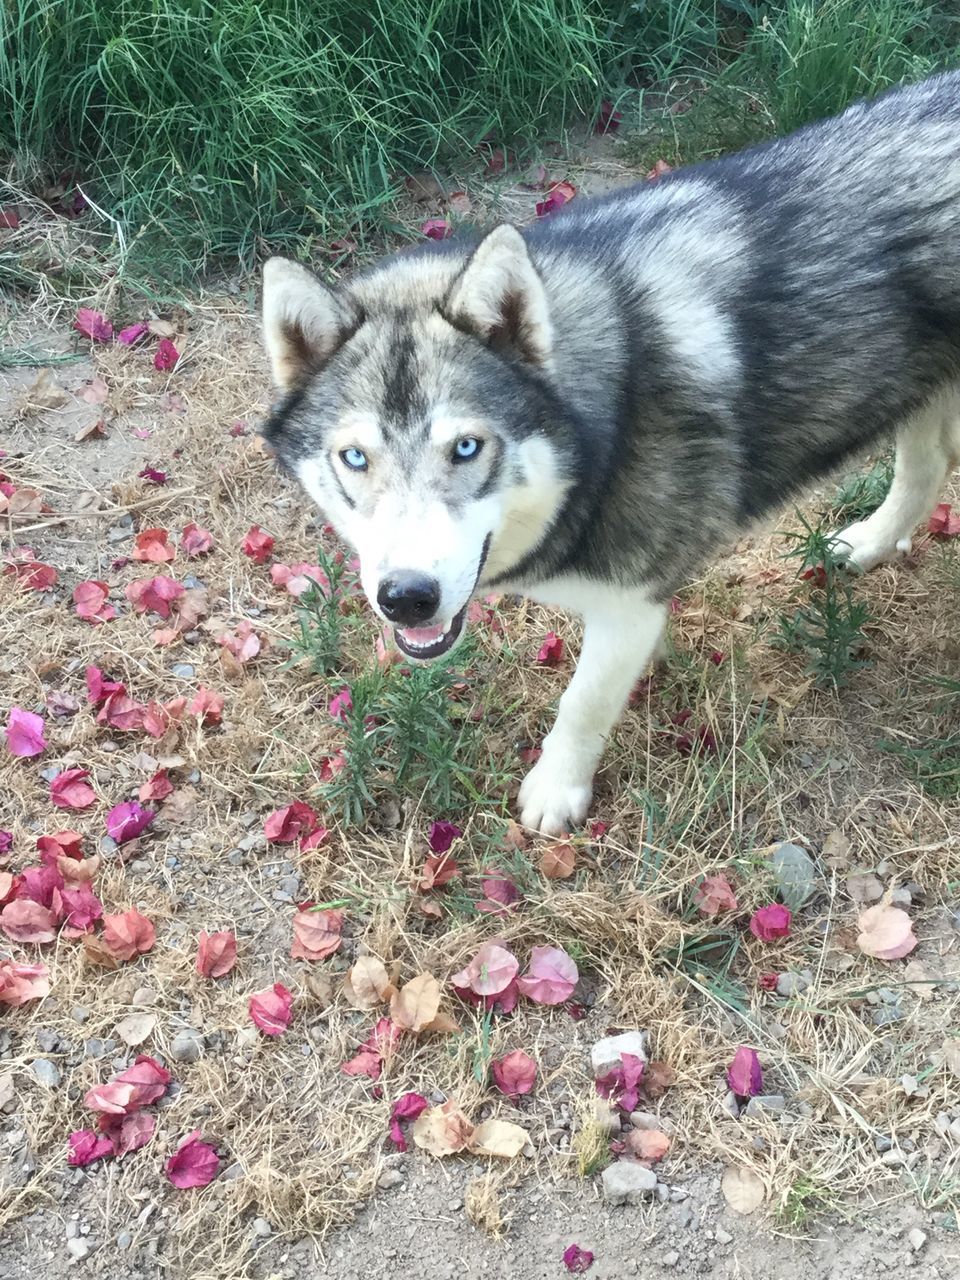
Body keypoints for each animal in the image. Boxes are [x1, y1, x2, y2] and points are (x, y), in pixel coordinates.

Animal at [261, 74, 960, 839]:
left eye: (467, 447)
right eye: (355, 458)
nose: (407, 598)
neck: (611, 417)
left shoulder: (632, 604)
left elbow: (583, 703)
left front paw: (556, 792)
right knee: (927, 470)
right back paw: (866, 544)